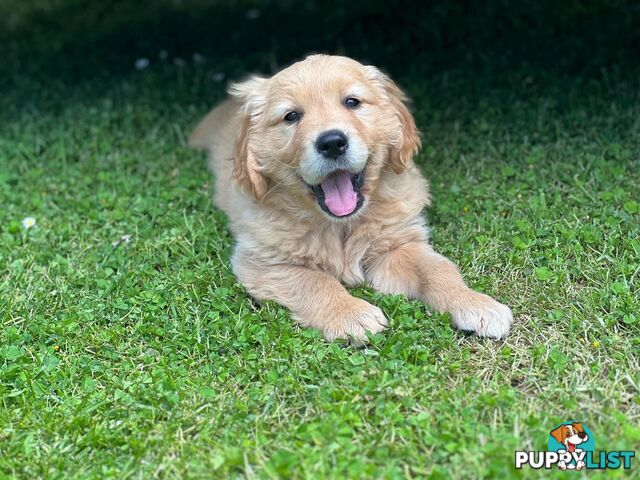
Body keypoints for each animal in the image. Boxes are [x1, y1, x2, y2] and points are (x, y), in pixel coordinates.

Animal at [191, 54, 516, 344]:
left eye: (351, 102)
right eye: (291, 116)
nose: (332, 143)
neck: (341, 225)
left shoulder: (398, 245)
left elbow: (437, 270)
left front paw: (474, 303)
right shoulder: (264, 263)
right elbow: (315, 282)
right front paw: (350, 314)